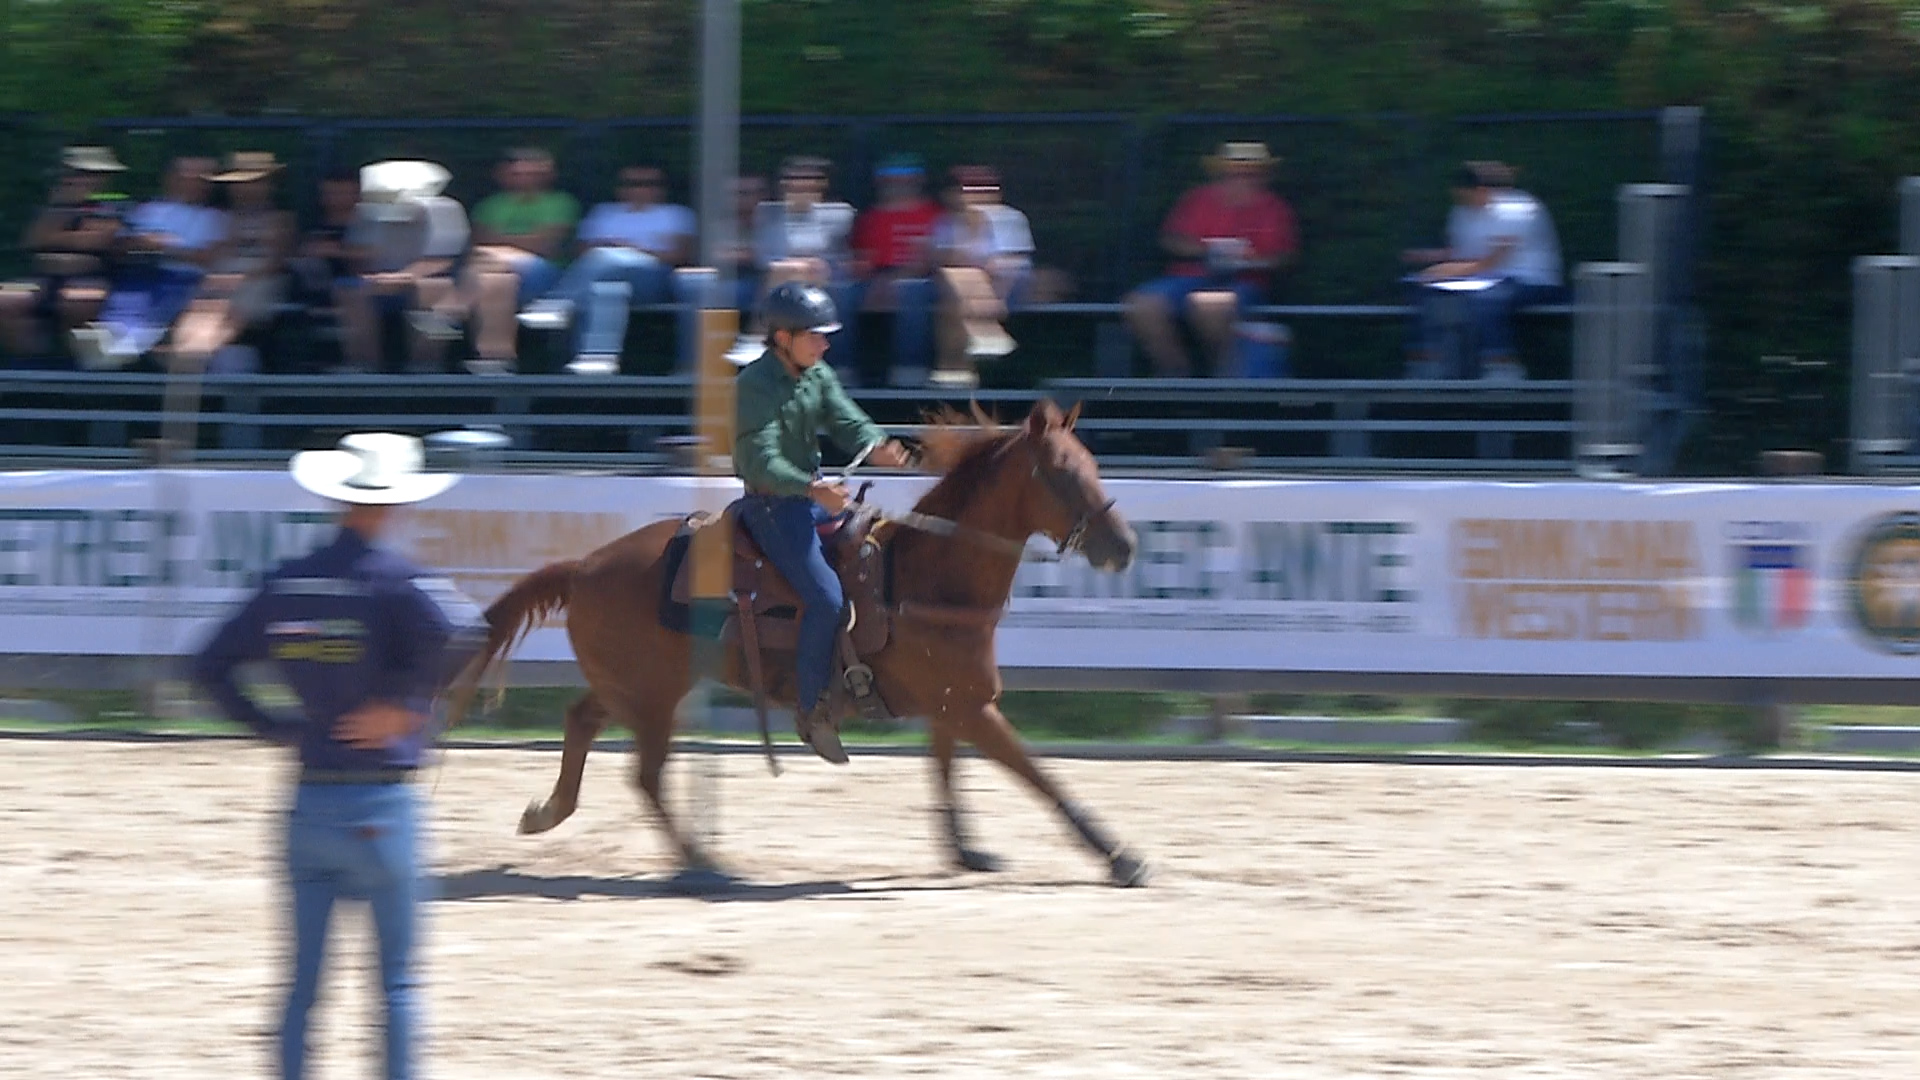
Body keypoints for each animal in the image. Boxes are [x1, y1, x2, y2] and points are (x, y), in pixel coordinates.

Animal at [441, 398, 1151, 887]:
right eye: (1060, 473)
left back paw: (549, 812)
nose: (1124, 548)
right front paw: (1120, 855)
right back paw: (703, 864)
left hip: (632, 687)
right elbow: (1039, 775)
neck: (926, 574)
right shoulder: (972, 709)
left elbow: (947, 772)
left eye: (1093, 464)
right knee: (645, 775)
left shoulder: (953, 704)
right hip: (652, 696)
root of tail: (583, 567)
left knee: (581, 719)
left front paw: (965, 848)